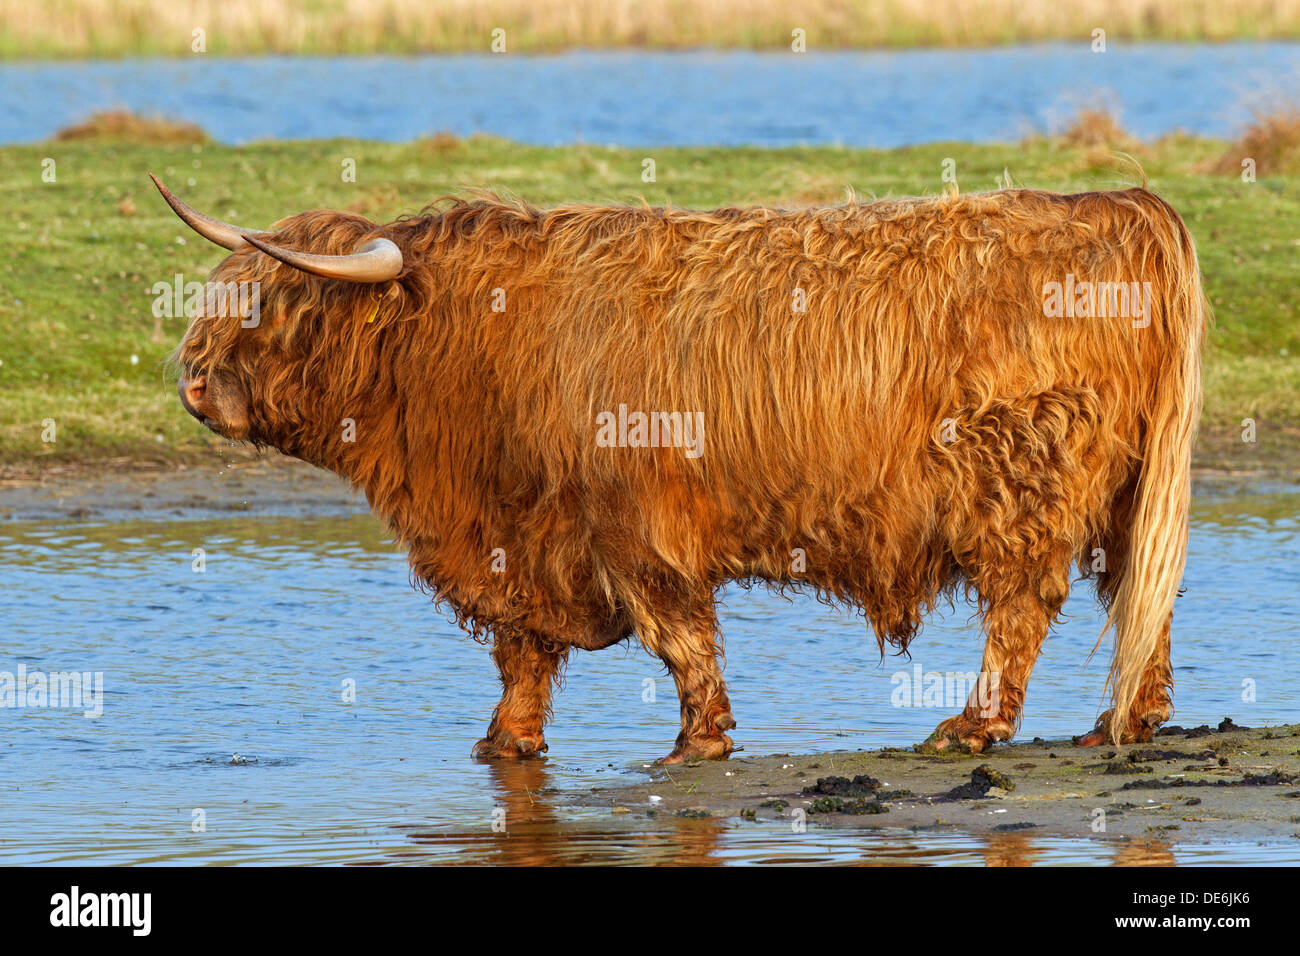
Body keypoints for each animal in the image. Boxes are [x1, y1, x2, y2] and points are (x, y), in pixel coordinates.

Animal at [153, 174, 1206, 763]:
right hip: (1126, 488)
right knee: (1138, 588)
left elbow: (678, 637)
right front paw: (505, 742)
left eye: (282, 303)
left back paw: (973, 727)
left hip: (1019, 482)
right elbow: (522, 651)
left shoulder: (631, 521)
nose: (194, 382)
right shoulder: (521, 541)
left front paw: (694, 741)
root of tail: (1119, 207)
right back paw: (1131, 719)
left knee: (1023, 601)